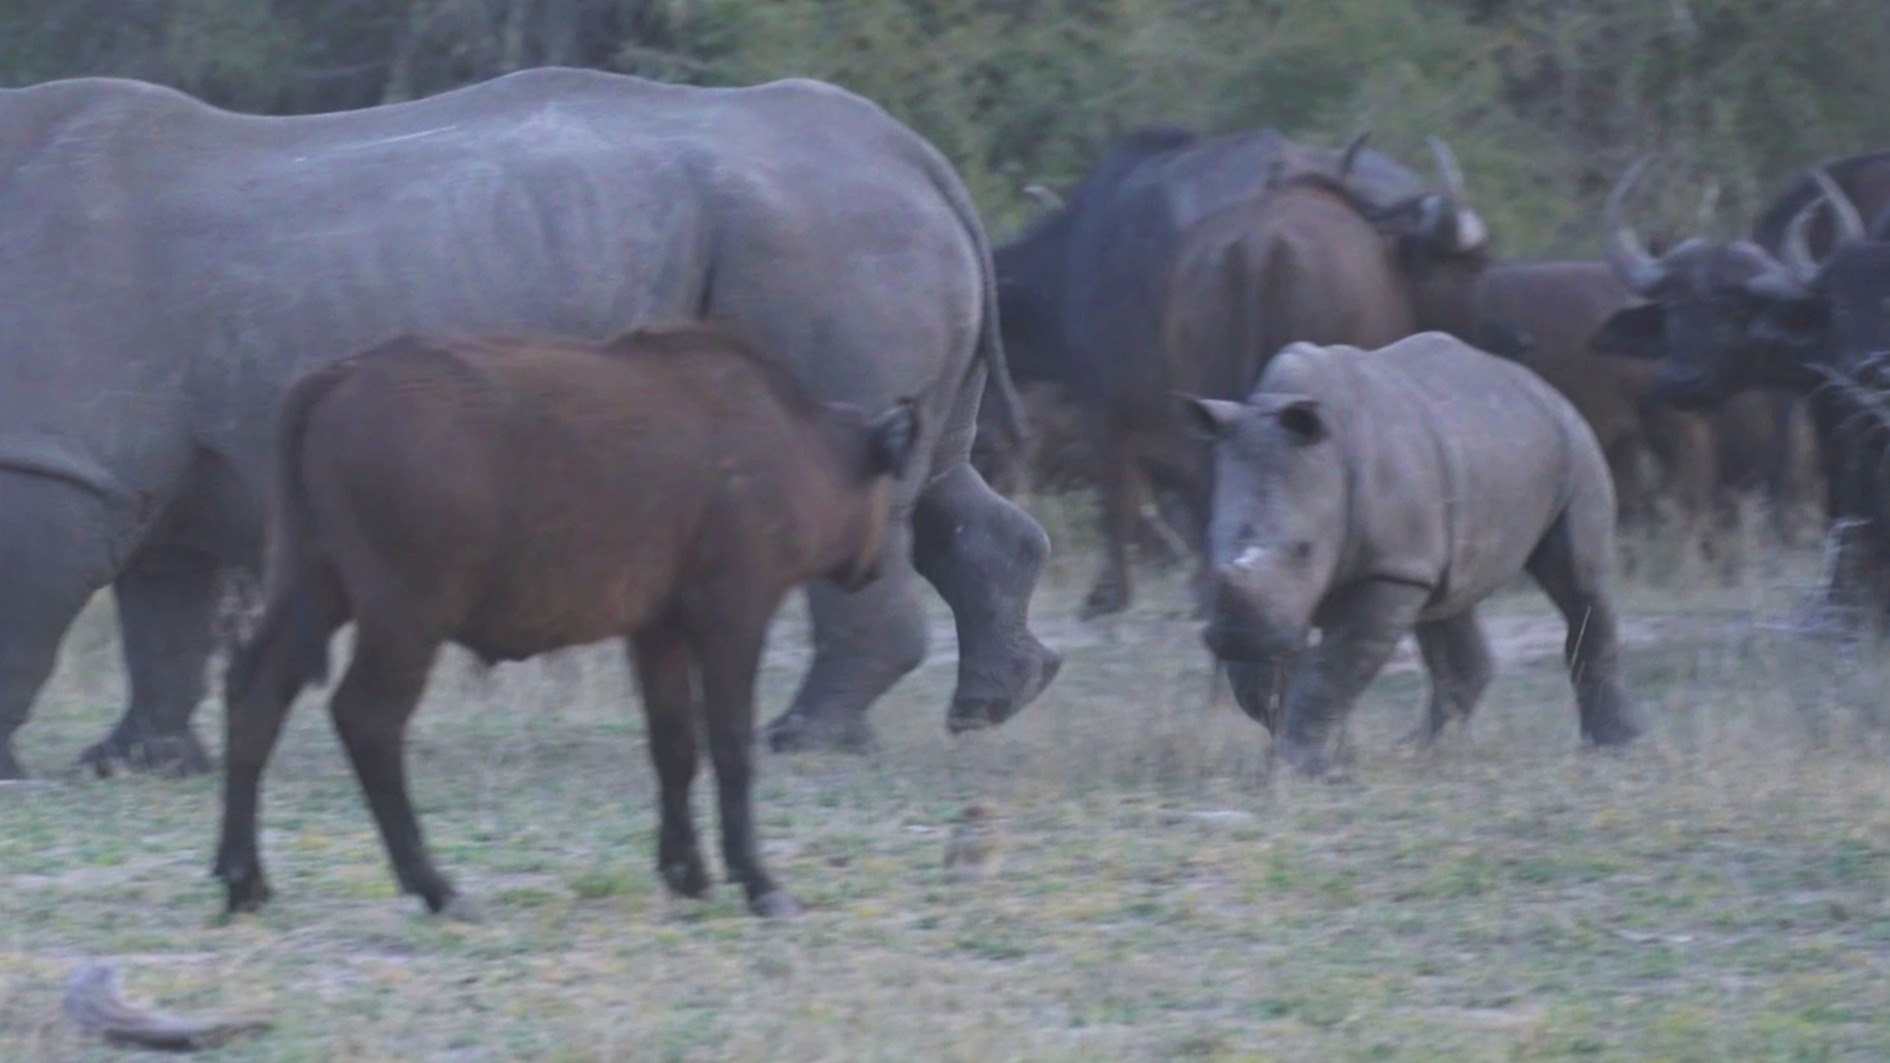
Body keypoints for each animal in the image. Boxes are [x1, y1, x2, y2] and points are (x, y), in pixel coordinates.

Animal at [0, 66, 1059, 778]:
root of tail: (916, 155)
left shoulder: (56, 458)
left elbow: (40, 606)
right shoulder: (125, 462)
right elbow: (163, 608)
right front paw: (133, 762)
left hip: (825, 245)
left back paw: (804, 742)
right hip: (856, 244)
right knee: (933, 474)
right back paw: (994, 701)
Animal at [215, 323, 919, 920]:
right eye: (892, 494)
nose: (878, 566)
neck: (796, 438)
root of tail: (336, 378)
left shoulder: (658, 634)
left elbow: (674, 748)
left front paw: (686, 872)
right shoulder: (732, 623)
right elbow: (730, 749)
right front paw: (760, 883)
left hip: (314, 591)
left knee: (254, 694)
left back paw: (244, 879)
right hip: (405, 624)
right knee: (366, 719)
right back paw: (437, 888)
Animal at [1184, 333, 1643, 777]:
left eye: (1305, 549)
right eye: (1209, 543)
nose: (1236, 636)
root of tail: (1538, 384)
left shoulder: (1391, 567)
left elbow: (1333, 670)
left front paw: (1297, 766)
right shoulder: (1275, 599)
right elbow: (1265, 674)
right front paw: (1303, 753)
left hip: (1574, 443)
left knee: (1581, 585)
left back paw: (1615, 746)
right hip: (1471, 454)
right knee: (1447, 602)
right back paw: (1419, 750)